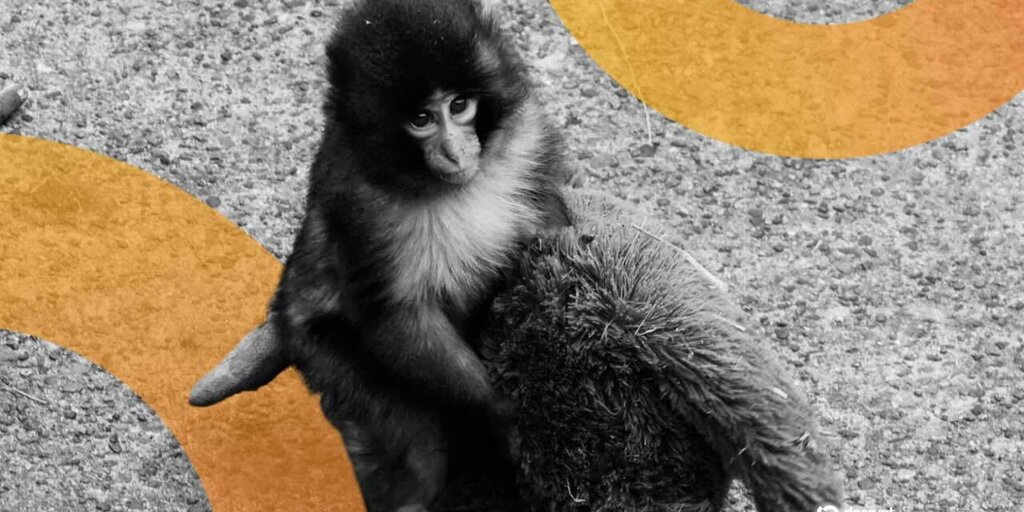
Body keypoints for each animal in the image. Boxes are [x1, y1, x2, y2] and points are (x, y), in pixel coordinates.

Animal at [264, 1, 571, 510]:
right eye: (422, 119)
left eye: (459, 106)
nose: (454, 151)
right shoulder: (358, 202)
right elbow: (396, 316)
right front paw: (499, 411)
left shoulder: (527, 135)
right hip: (321, 350)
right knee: (417, 449)